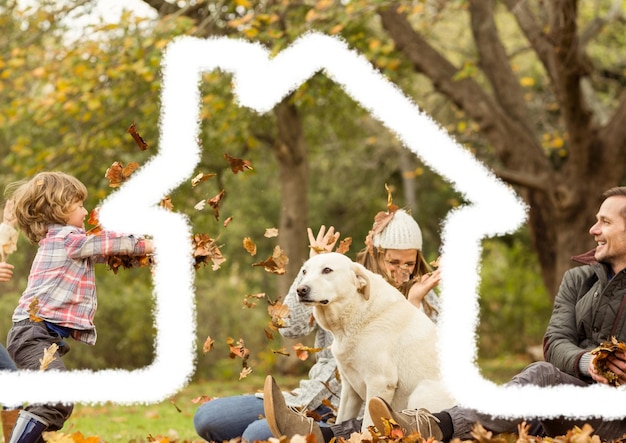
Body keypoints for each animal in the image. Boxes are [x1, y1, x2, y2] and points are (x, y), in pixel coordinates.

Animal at [294, 253, 450, 430]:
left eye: (327, 270)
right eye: (304, 271)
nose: (300, 290)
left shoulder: (380, 382)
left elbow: (367, 425)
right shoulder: (349, 389)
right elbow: (342, 420)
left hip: (422, 391)